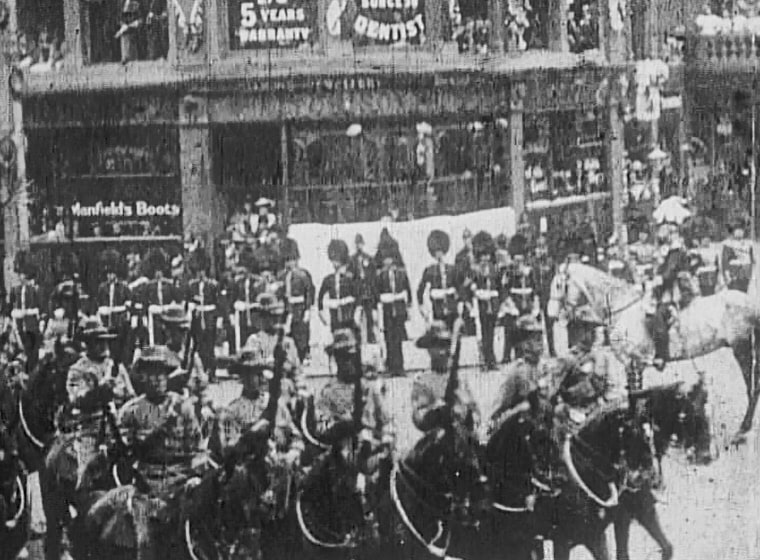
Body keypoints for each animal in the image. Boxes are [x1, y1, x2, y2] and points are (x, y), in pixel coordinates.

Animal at [548, 260, 760, 444]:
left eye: (558, 285)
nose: (550, 314)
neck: (624, 310)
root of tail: (751, 302)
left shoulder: (634, 363)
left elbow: (635, 395)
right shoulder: (632, 366)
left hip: (742, 348)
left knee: (752, 387)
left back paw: (742, 431)